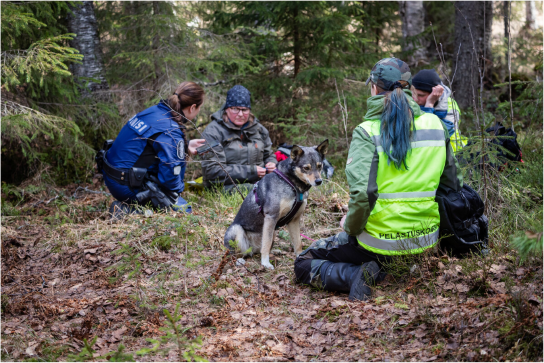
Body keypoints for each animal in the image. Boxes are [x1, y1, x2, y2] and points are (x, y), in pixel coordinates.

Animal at [224, 139, 330, 270]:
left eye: (320, 166)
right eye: (306, 168)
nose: (319, 181)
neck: (292, 184)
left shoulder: (293, 220)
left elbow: (298, 243)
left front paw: (300, 256)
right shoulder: (271, 217)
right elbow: (267, 243)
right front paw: (265, 263)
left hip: (272, 231)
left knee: (258, 250)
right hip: (237, 230)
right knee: (241, 253)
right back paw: (240, 260)